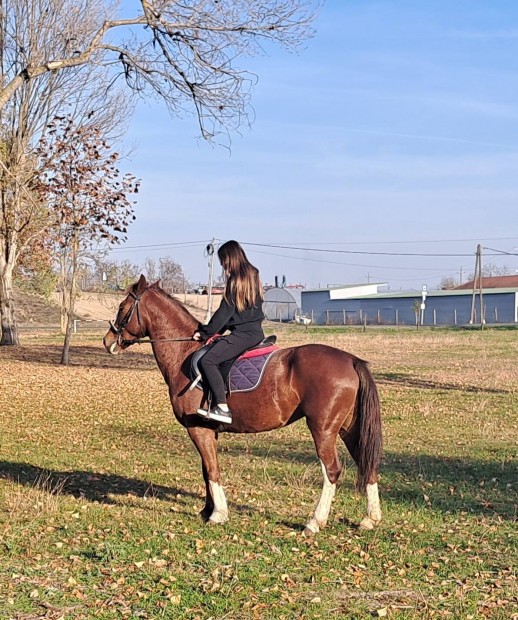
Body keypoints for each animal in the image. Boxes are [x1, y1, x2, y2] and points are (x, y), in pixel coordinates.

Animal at [103, 276, 384, 532]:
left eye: (122, 307)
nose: (108, 341)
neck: (184, 353)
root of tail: (351, 360)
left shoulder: (198, 430)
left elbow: (212, 470)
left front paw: (218, 514)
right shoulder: (208, 431)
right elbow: (206, 469)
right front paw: (206, 510)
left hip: (323, 429)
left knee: (332, 471)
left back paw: (315, 522)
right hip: (348, 428)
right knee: (366, 463)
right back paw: (370, 519)